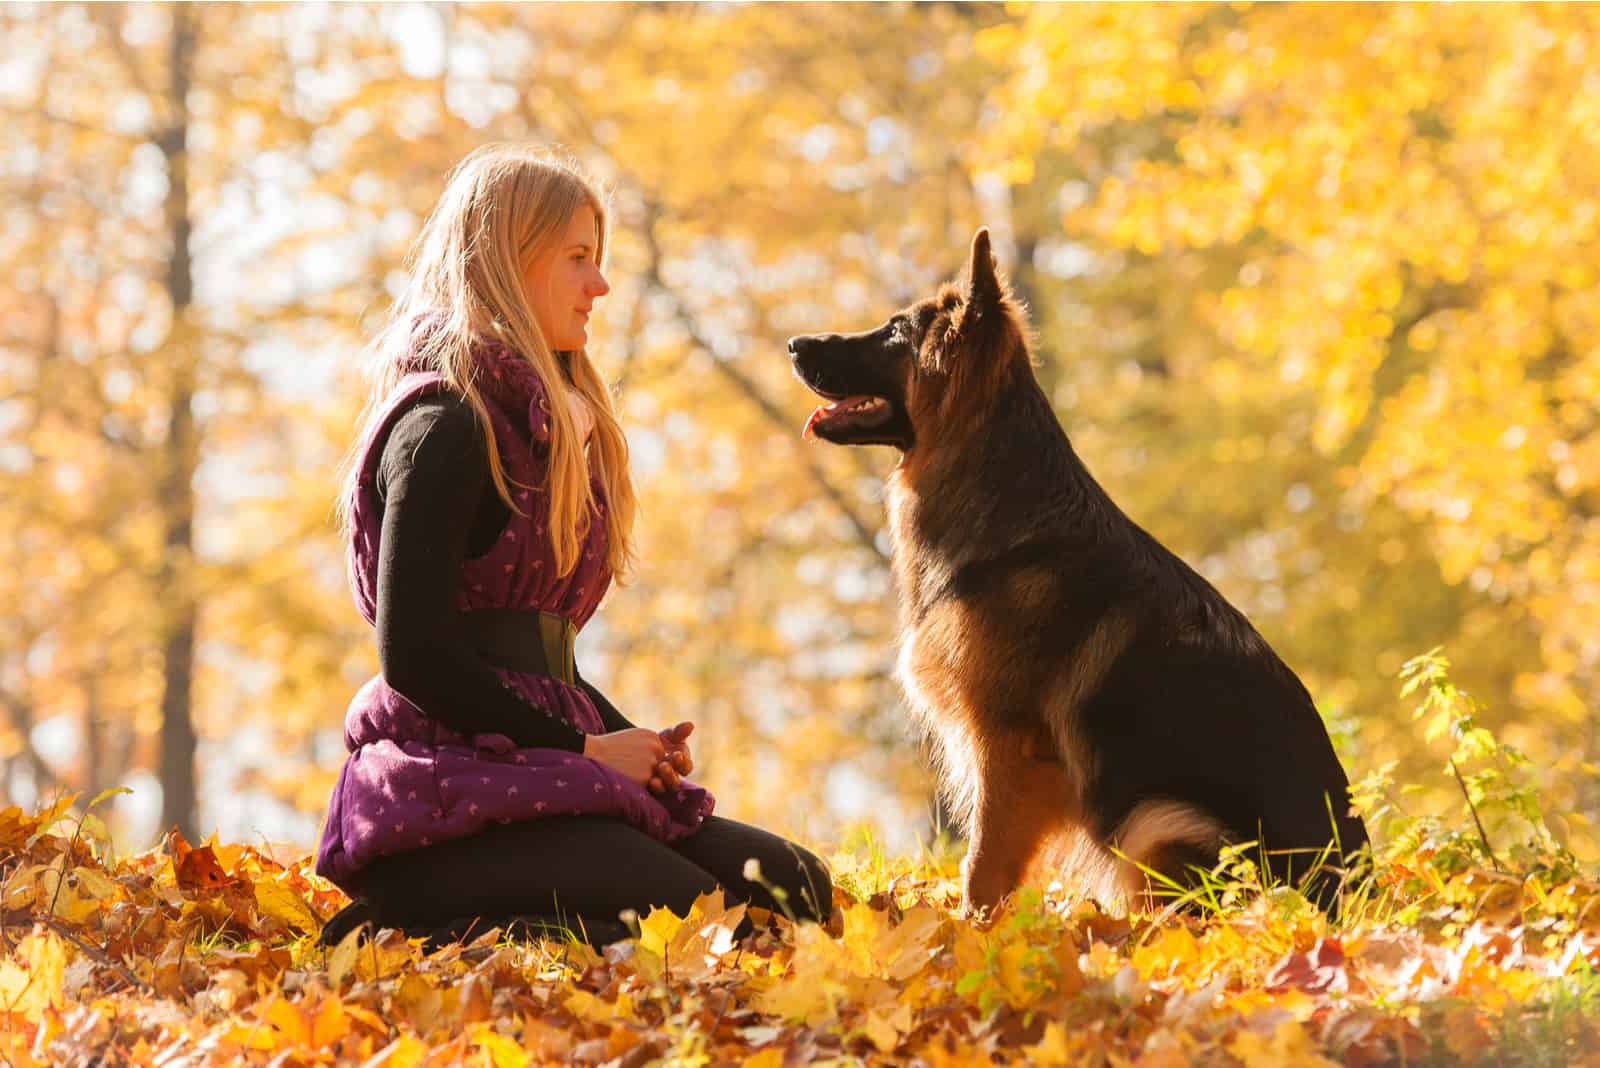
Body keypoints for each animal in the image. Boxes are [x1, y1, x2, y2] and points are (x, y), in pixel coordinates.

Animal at [784, 230, 1363, 914]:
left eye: (895, 332)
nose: (794, 344)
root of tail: (1347, 894)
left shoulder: (1008, 752)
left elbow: (982, 868)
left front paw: (972, 931)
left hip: (1157, 822)